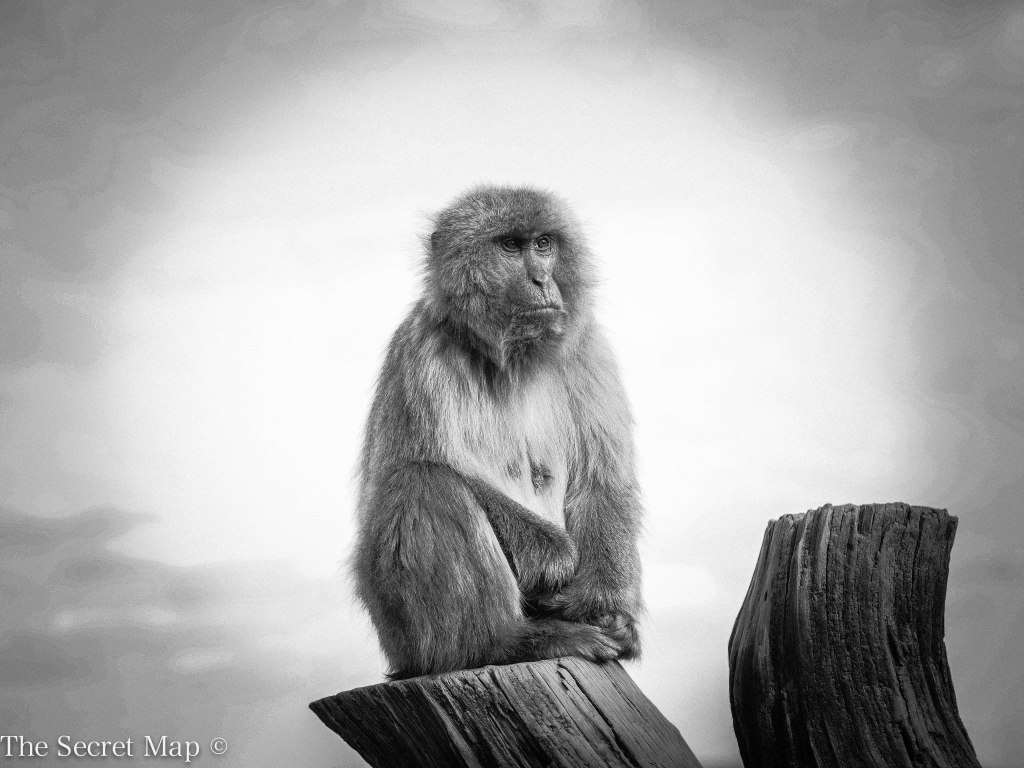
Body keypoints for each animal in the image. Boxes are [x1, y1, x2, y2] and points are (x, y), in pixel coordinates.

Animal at [351, 185, 643, 679]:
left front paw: (604, 606)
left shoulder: (588, 349)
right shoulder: (424, 351)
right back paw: (504, 642)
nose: (542, 279)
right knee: (422, 481)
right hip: (401, 635)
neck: (515, 359)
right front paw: (555, 561)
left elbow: (603, 480)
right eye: (510, 246)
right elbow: (407, 466)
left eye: (543, 244)